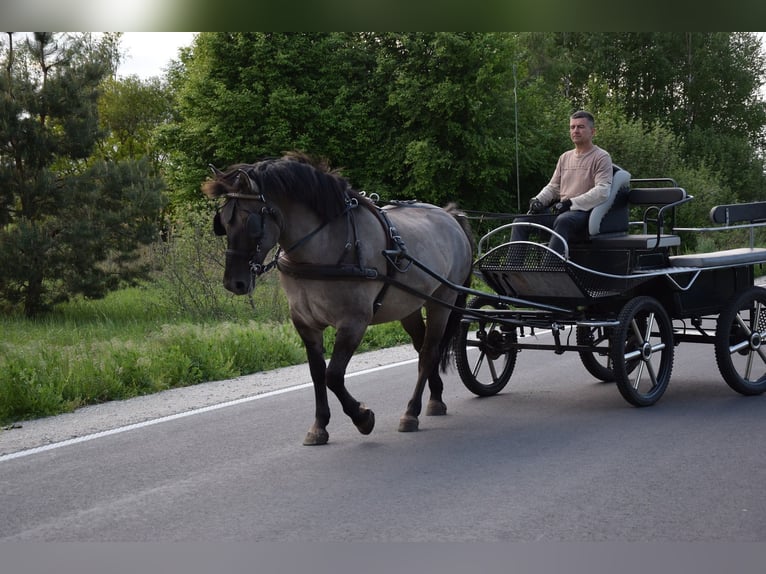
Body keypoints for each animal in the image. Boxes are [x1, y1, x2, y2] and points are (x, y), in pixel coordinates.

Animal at [202, 152, 475, 445]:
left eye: (249, 222)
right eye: (223, 223)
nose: (234, 283)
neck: (323, 248)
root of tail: (449, 216)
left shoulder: (353, 322)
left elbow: (333, 375)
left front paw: (363, 417)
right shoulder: (305, 322)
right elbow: (317, 373)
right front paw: (319, 426)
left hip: (442, 300)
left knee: (428, 352)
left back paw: (411, 412)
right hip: (409, 306)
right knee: (421, 345)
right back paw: (435, 398)